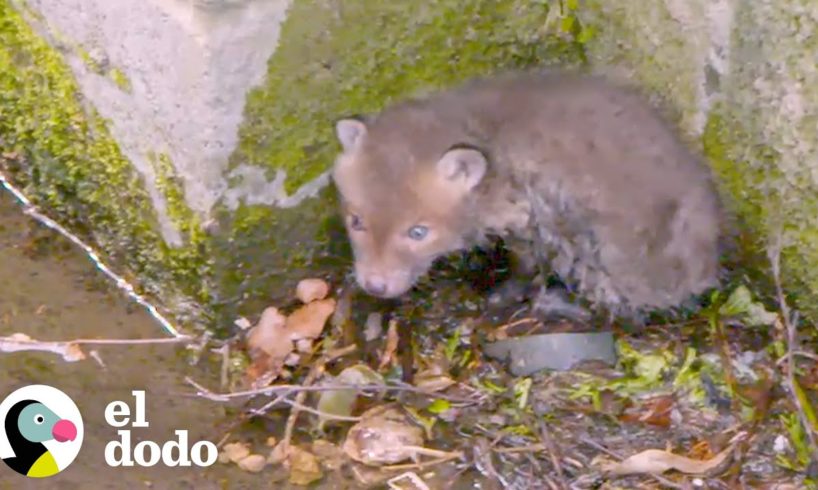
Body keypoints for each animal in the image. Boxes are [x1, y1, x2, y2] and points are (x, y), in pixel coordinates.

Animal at [330, 70, 723, 322]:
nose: (375, 285)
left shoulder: (530, 218)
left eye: (418, 232)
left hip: (599, 247)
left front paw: (503, 294)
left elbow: (525, 266)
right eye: (356, 221)